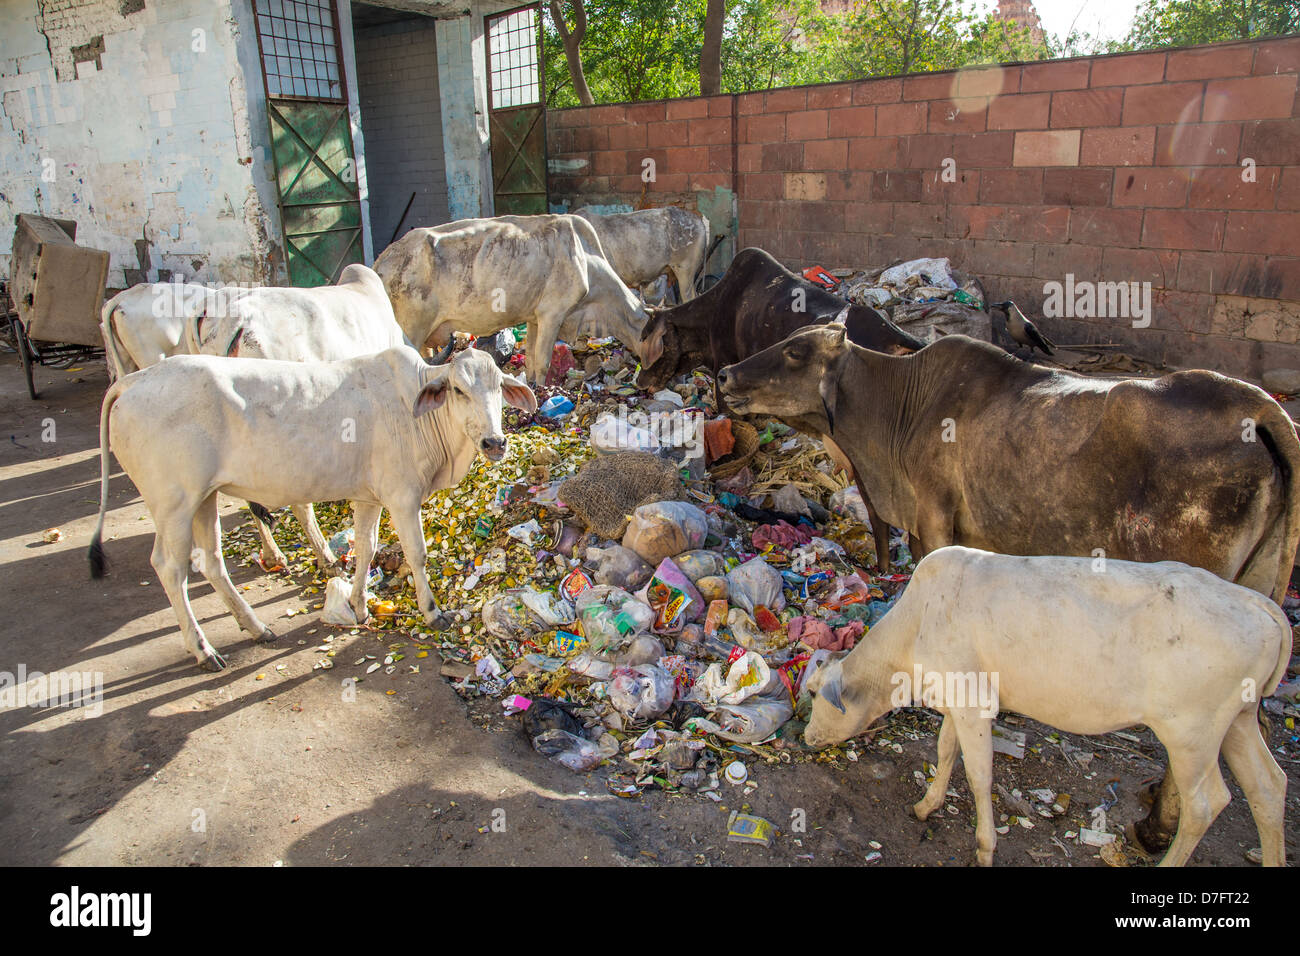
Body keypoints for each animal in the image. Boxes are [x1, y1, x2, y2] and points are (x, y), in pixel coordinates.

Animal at [89, 348, 533, 671]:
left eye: (498, 386)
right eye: (458, 389)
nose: (495, 442)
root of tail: (131, 380)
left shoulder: (369, 497)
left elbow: (366, 549)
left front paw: (359, 606)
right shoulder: (403, 496)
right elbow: (417, 555)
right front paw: (432, 612)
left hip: (204, 498)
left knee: (211, 562)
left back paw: (256, 628)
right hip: (173, 503)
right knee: (170, 567)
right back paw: (203, 649)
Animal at [374, 214, 647, 385]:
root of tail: (382, 260)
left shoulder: (535, 318)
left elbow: (532, 359)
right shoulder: (553, 314)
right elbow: (543, 362)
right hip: (412, 327)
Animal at [800, 546, 1289, 868]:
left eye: (814, 694)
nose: (805, 738)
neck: (914, 625)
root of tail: (1257, 602)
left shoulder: (973, 701)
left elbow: (978, 775)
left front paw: (985, 846)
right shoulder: (958, 697)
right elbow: (945, 751)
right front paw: (927, 805)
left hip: (1191, 734)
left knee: (1206, 804)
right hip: (1239, 721)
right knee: (1268, 787)